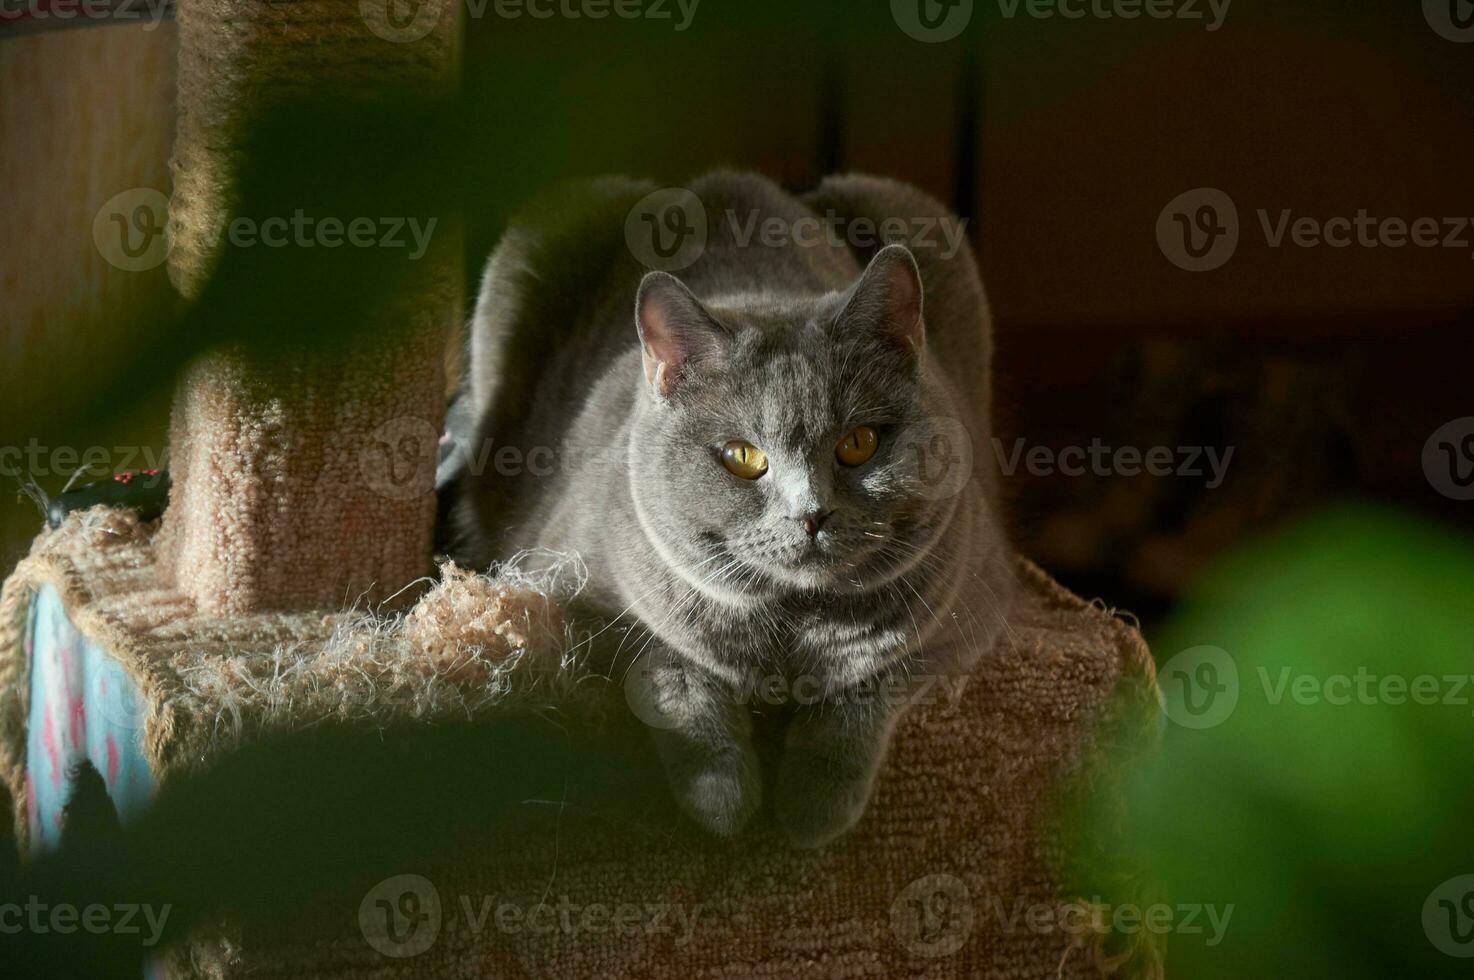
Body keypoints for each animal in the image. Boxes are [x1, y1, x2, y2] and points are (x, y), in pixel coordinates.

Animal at [453, 171, 1014, 842]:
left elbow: (871, 684)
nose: (811, 513)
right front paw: (725, 806)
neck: (793, 626)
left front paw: (811, 810)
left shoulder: (970, 608)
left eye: (858, 443)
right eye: (743, 456)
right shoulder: (563, 583)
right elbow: (670, 670)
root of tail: (727, 182)